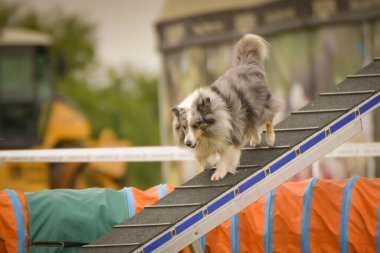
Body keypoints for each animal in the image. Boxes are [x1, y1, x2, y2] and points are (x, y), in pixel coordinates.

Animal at [172, 34, 282, 180]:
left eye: (196, 125)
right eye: (184, 127)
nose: (187, 143)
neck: (208, 132)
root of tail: (246, 63)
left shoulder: (230, 136)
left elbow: (226, 158)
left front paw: (218, 174)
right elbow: (200, 157)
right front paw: (207, 165)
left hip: (261, 106)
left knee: (269, 118)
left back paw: (270, 139)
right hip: (248, 111)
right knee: (252, 125)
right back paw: (255, 140)